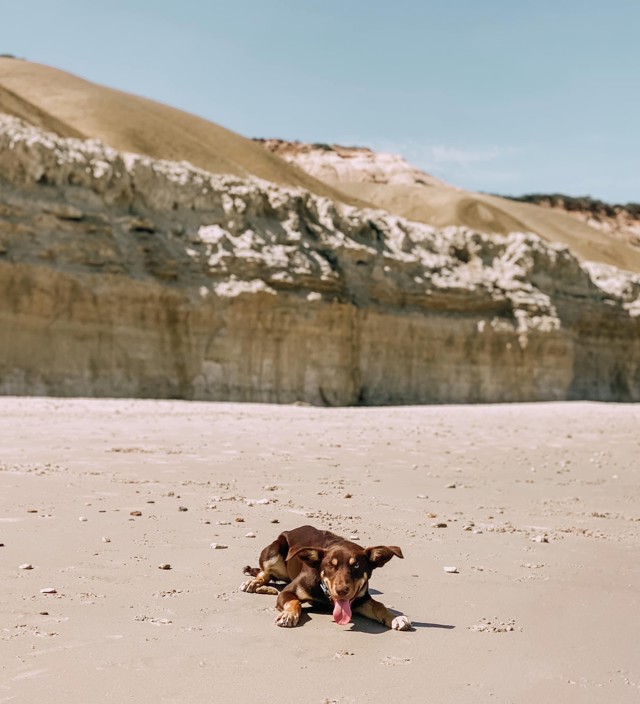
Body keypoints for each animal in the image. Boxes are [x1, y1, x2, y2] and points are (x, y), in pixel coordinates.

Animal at [239, 524, 410, 632]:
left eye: (356, 566)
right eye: (330, 565)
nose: (342, 591)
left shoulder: (361, 599)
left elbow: (379, 605)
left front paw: (395, 618)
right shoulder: (287, 592)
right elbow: (295, 601)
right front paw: (289, 615)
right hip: (273, 552)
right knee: (264, 572)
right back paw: (255, 583)